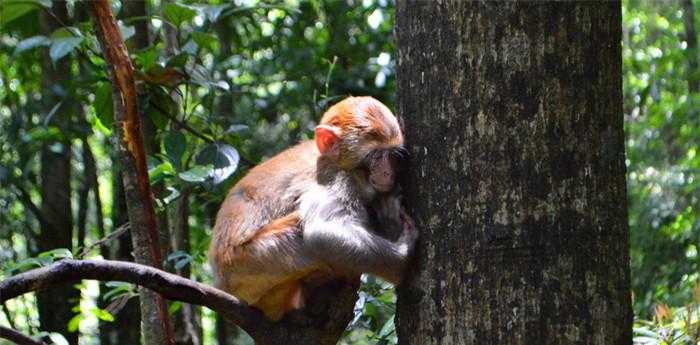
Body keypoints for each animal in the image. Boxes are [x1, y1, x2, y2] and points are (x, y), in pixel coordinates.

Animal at [208, 96, 416, 320]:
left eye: (392, 156)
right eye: (376, 156)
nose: (387, 173)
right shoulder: (336, 180)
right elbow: (322, 232)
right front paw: (404, 257)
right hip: (250, 264)